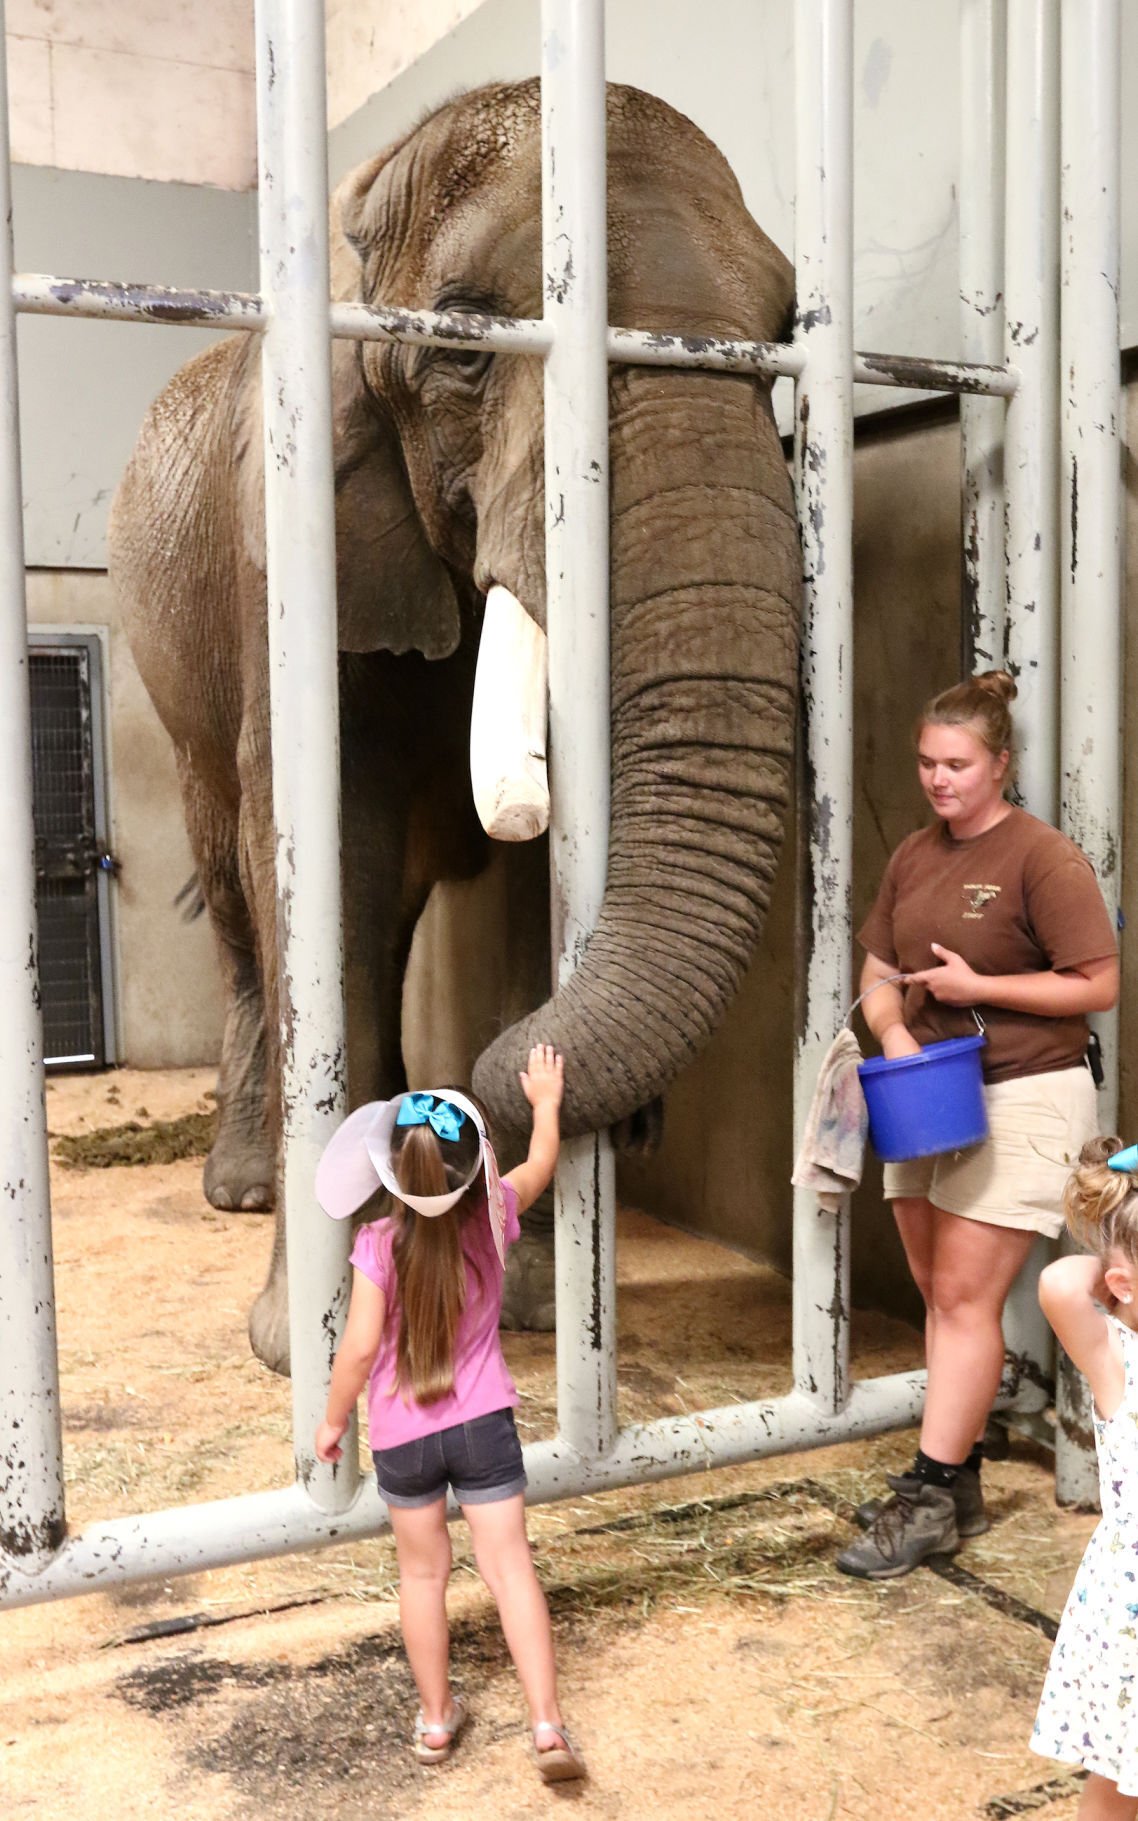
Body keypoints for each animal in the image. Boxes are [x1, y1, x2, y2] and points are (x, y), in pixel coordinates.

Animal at [108, 78, 797, 1369]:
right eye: (465, 342)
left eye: (784, 334)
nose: (639, 1128)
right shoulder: (283, 538)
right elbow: (322, 841)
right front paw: (320, 1340)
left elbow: (523, 890)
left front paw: (523, 1300)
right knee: (234, 884)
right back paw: (250, 1186)